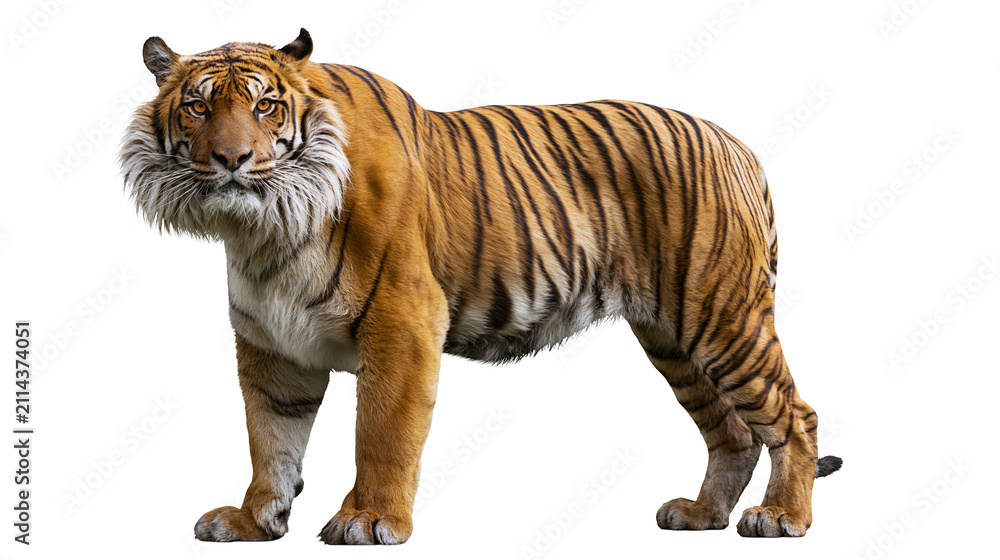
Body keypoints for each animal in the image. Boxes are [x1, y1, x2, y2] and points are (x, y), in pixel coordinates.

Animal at [119, 28, 841, 545]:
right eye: (198, 106)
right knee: (735, 432)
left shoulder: (403, 323)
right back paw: (700, 516)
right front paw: (252, 523)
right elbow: (269, 439)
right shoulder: (272, 347)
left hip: (723, 318)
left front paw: (368, 520)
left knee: (794, 415)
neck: (264, 229)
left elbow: (381, 433)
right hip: (673, 339)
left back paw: (781, 518)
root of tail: (736, 143)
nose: (231, 160)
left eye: (264, 105)